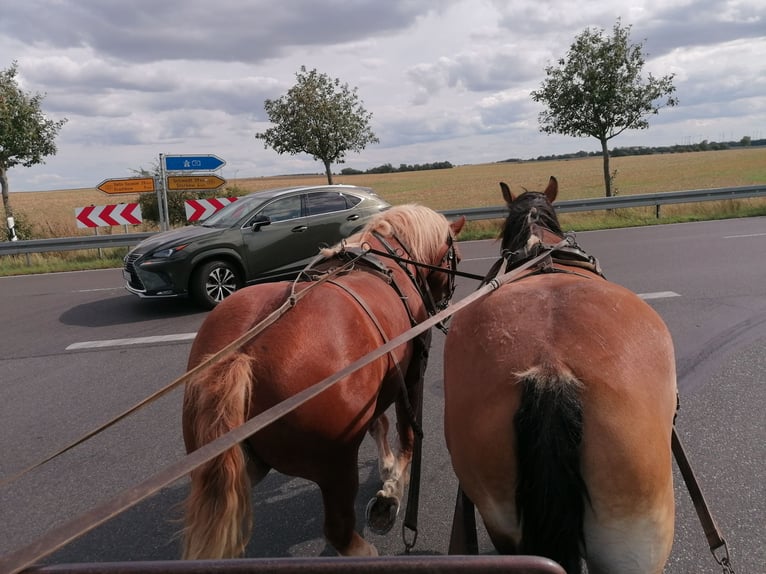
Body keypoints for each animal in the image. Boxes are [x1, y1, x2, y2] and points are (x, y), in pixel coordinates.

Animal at [182, 206, 468, 564]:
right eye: (456, 257)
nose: (443, 304)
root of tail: (240, 355)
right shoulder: (412, 373)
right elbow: (408, 434)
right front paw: (393, 487)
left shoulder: (372, 388)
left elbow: (378, 424)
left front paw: (387, 466)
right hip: (336, 467)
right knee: (339, 531)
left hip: (227, 472)